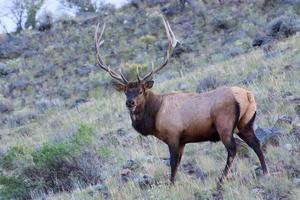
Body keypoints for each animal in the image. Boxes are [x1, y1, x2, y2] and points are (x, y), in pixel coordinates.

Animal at [95, 16, 268, 184]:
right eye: (126, 92)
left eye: (140, 91)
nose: (130, 103)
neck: (155, 116)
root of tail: (247, 95)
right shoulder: (183, 141)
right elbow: (177, 163)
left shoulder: (173, 135)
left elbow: (173, 163)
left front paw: (171, 184)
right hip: (245, 123)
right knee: (256, 143)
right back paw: (266, 172)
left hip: (224, 123)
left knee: (233, 148)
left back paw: (221, 180)